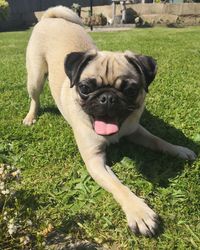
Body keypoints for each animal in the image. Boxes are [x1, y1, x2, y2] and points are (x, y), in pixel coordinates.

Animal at [23, 5, 197, 236]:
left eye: (130, 90)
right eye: (85, 88)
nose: (107, 97)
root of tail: (51, 17)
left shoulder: (135, 130)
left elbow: (158, 141)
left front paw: (179, 149)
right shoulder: (95, 161)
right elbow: (119, 186)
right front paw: (139, 212)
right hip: (35, 77)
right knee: (34, 98)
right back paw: (31, 117)